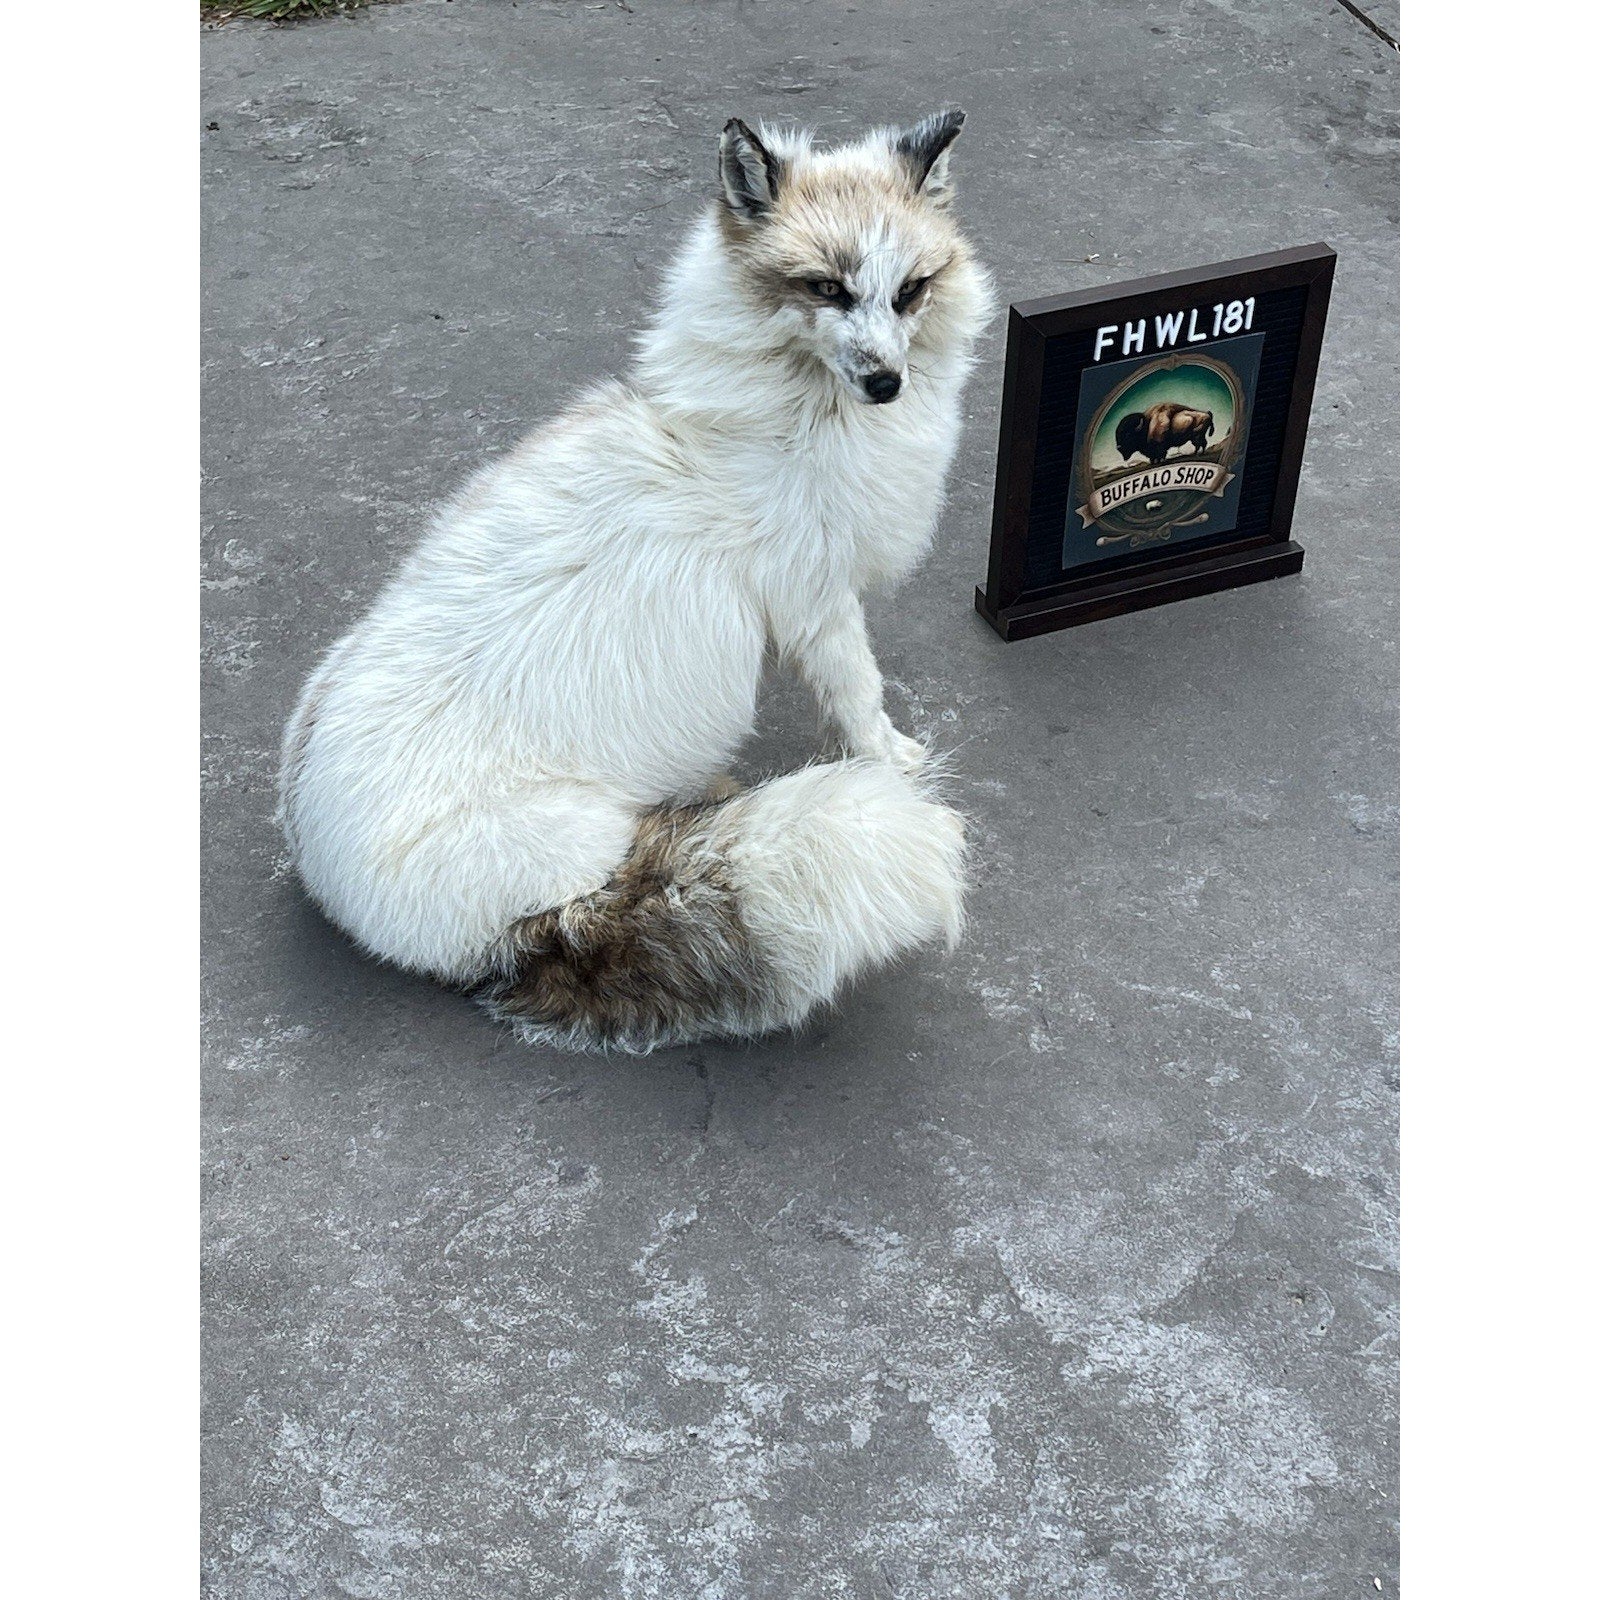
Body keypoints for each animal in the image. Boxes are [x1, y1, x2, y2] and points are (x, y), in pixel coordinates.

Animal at [278, 109, 997, 1053]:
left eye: (910, 291)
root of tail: (327, 875)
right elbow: (860, 699)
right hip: (581, 853)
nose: (886, 383)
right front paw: (901, 764)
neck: (794, 416)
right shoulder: (816, 598)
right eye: (827, 289)